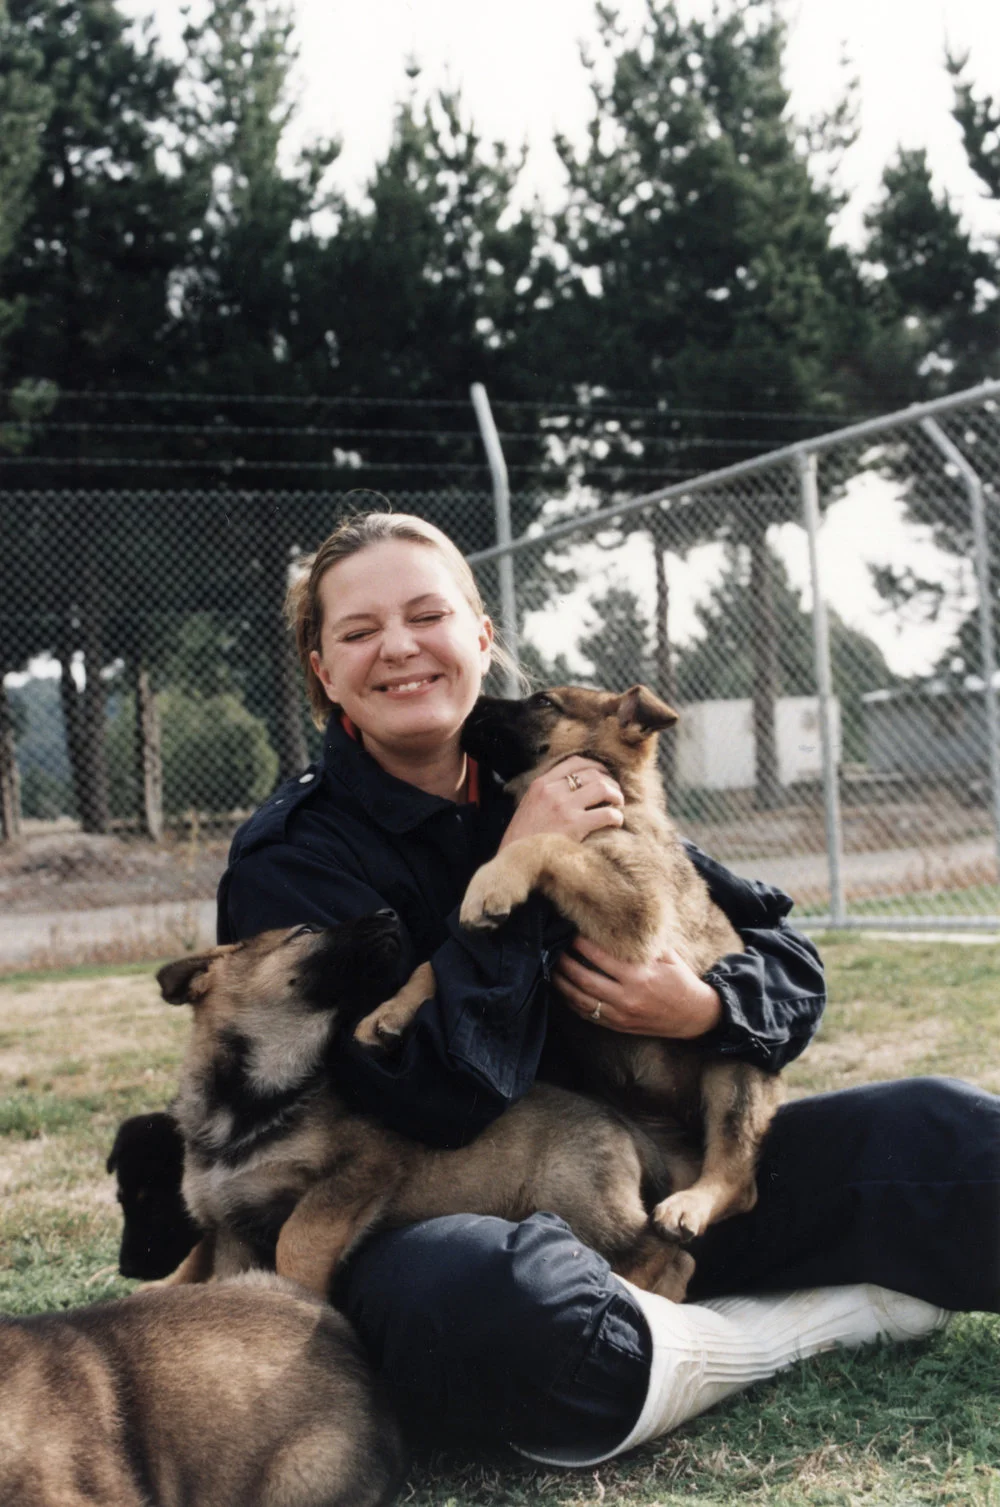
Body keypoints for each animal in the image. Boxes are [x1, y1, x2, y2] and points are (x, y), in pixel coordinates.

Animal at [160, 904, 695, 1308]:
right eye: (305, 931)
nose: (387, 913)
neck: (254, 1102)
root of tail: (622, 1123)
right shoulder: (233, 1229)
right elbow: (231, 1280)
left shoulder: (360, 1169)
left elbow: (298, 1239)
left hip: (576, 1200)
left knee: (663, 1247)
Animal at [355, 687, 783, 1247]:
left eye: (543, 701)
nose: (472, 704)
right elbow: (433, 966)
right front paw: (386, 1013)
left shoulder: (638, 912)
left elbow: (546, 841)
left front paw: (492, 882)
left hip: (735, 1070)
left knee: (740, 1178)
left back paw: (693, 1204)